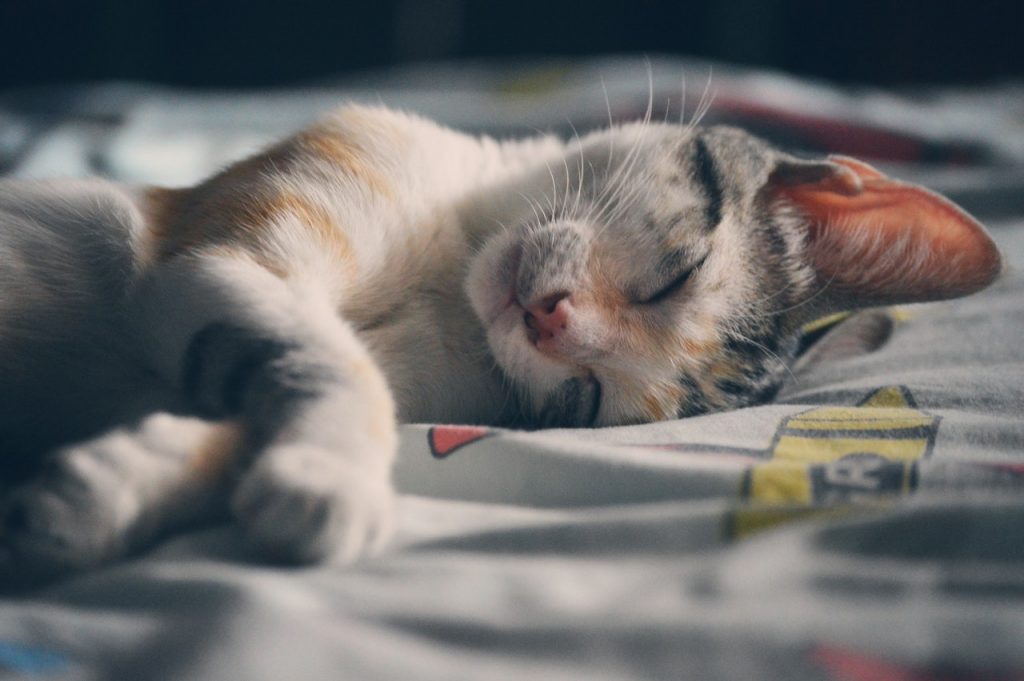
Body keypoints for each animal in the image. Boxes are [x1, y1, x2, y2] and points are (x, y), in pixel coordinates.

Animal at [0, 103, 999, 585]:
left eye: (586, 396)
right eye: (677, 274)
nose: (551, 321)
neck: (451, 276)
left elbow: (253, 405)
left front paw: (102, 492)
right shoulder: (217, 253)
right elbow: (337, 365)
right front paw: (330, 479)